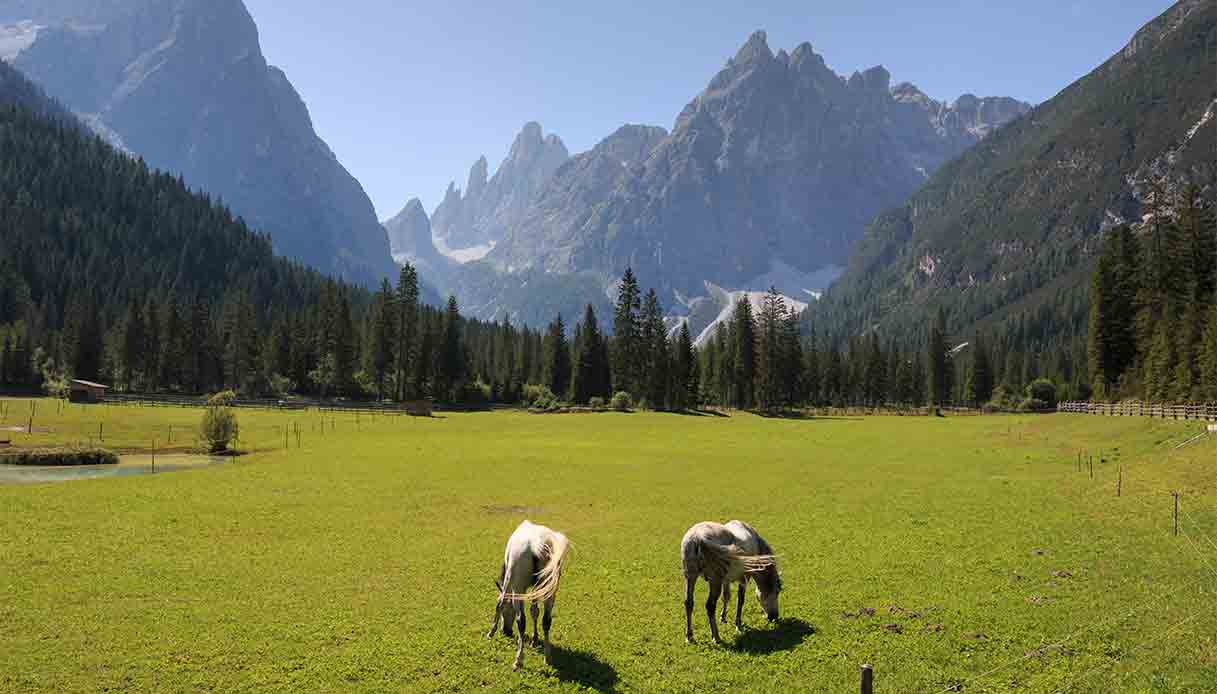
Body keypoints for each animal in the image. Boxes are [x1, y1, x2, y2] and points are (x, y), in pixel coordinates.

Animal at [484, 516, 569, 667]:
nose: (506, 631)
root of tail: (539, 544)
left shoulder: (509, 582)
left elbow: (500, 603)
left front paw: (491, 632)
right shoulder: (536, 588)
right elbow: (534, 611)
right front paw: (534, 639)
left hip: (518, 588)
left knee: (521, 621)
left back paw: (518, 659)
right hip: (550, 590)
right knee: (546, 620)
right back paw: (547, 657)